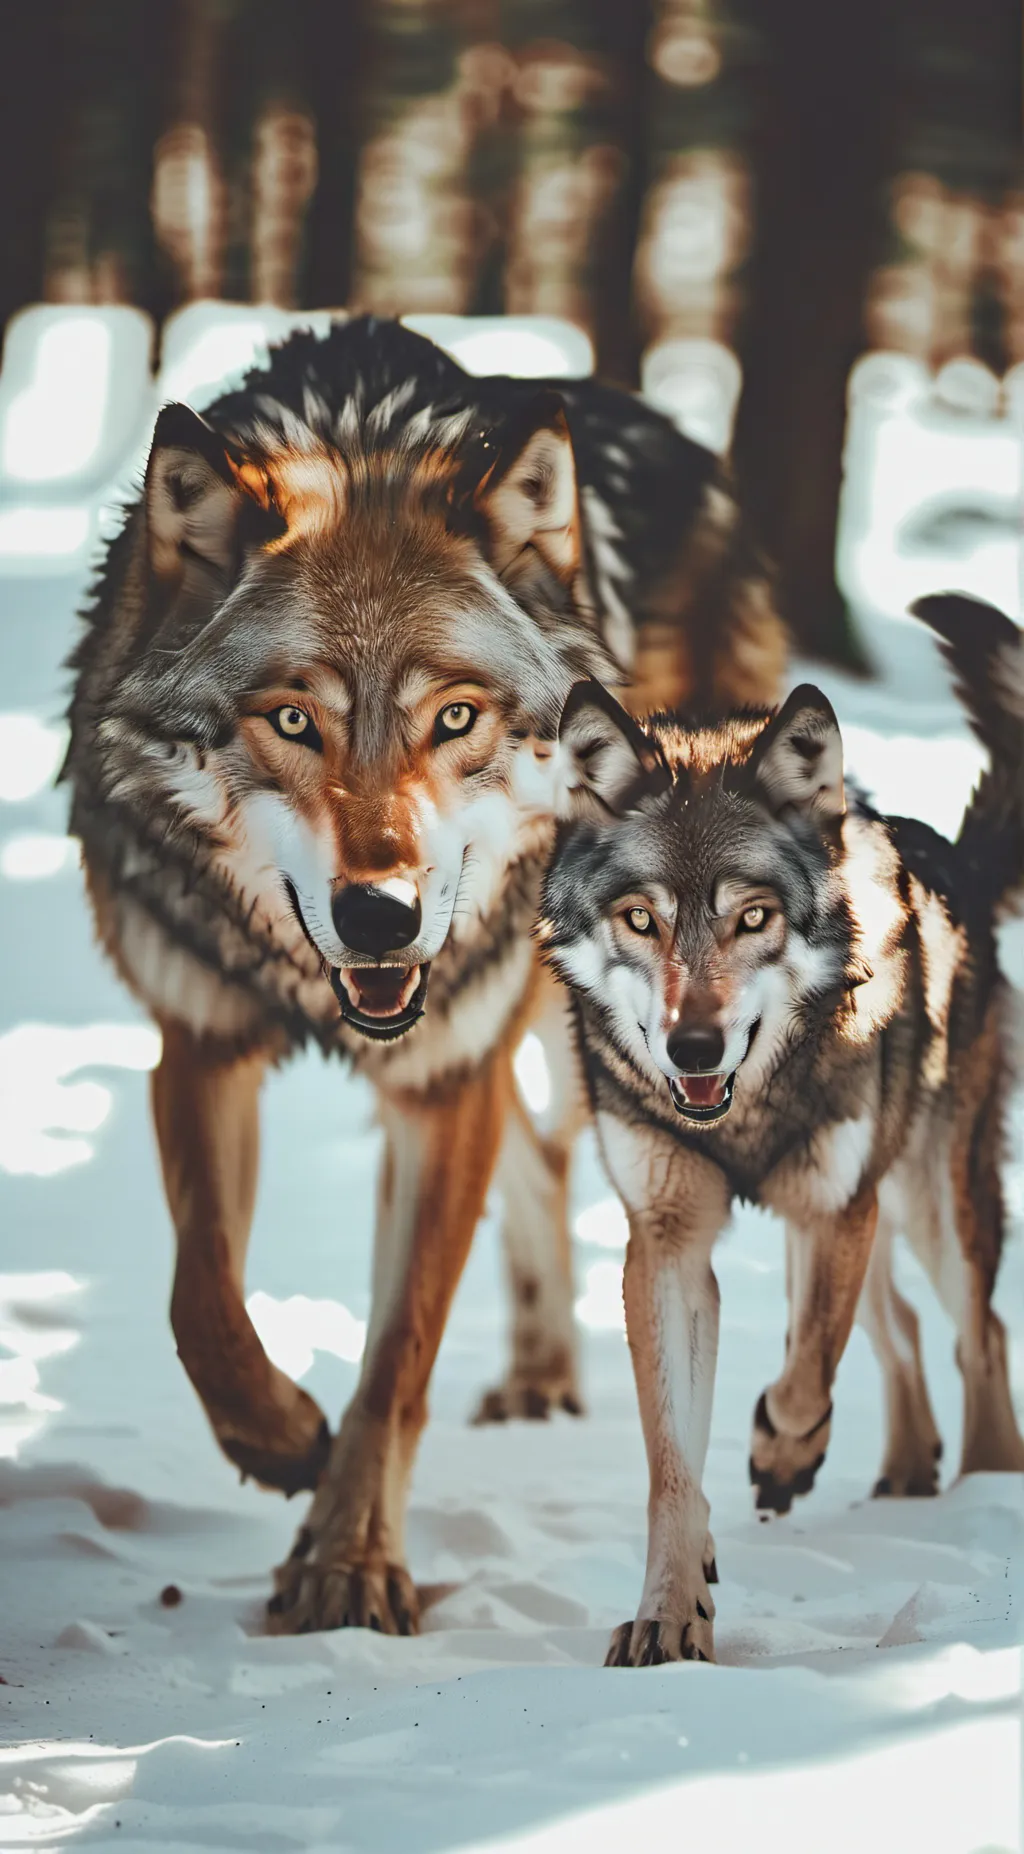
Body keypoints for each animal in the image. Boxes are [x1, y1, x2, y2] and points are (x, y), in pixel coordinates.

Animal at [63, 315, 786, 1635]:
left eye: (453, 718)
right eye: (292, 721)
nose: (380, 916)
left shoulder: (442, 1078)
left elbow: (399, 1345)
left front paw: (348, 1562)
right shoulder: (198, 1042)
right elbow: (200, 1299)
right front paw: (279, 1440)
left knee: (552, 1153)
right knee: (537, 1163)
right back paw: (534, 1374)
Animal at [541, 591, 1024, 1667]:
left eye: (752, 917)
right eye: (641, 920)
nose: (692, 1045)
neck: (746, 1111)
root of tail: (949, 857)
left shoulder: (831, 1210)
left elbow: (806, 1375)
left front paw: (779, 1454)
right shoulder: (667, 1245)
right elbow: (671, 1465)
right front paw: (671, 1612)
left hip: (924, 1205)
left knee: (978, 1329)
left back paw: (984, 1487)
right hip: (871, 1219)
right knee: (900, 1327)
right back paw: (908, 1472)